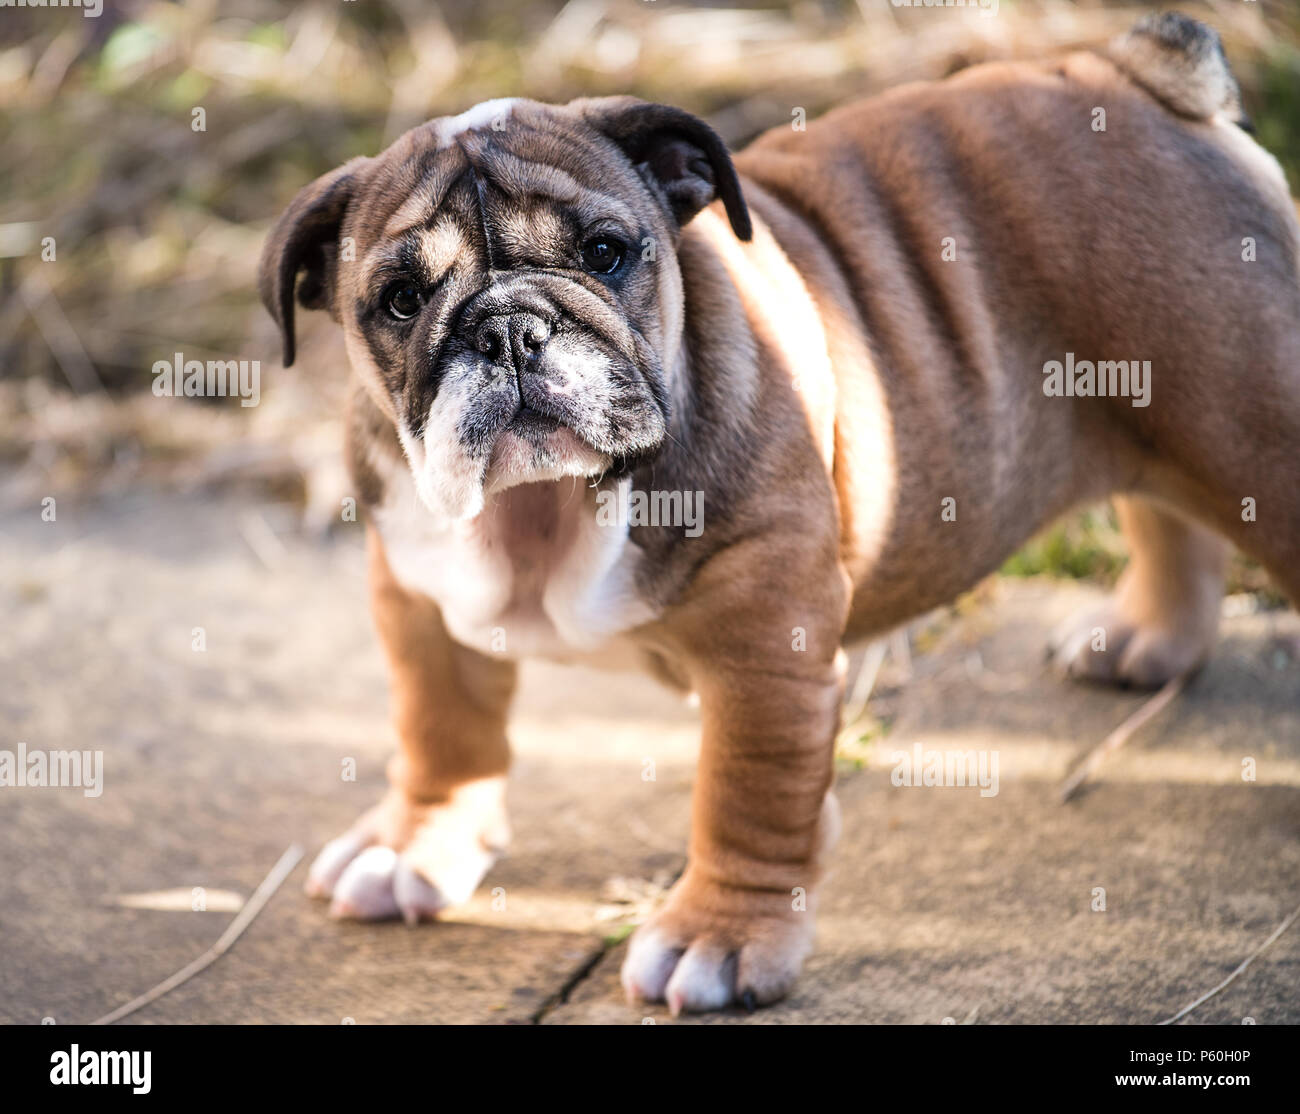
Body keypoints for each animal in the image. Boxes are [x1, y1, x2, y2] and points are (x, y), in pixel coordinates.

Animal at [261, 12, 1300, 1013]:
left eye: (604, 252)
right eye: (400, 301)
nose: (510, 327)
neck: (547, 506)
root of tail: (1138, 73)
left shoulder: (768, 644)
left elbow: (747, 794)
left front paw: (718, 939)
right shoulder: (418, 597)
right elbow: (441, 726)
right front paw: (411, 848)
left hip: (1249, 420)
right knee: (1163, 509)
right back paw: (1145, 639)